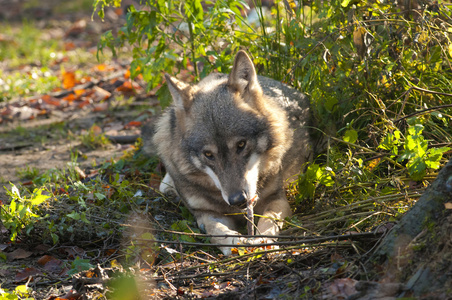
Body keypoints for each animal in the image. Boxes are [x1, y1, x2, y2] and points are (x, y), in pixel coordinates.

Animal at [147, 50, 316, 254]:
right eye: (208, 155)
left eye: (241, 144)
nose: (238, 200)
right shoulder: (206, 213)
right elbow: (217, 230)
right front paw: (235, 245)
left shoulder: (277, 199)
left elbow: (269, 221)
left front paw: (263, 241)